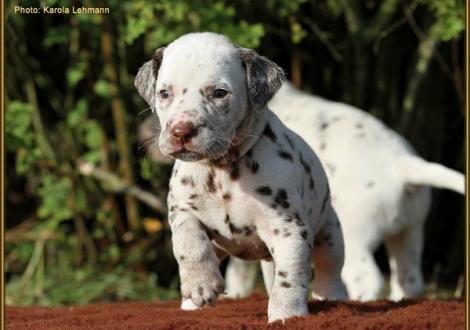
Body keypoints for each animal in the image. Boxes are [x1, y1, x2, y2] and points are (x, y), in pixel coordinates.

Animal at [134, 32, 346, 322]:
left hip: (330, 233)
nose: (181, 131)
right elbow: (189, 243)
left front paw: (287, 314)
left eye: (219, 93)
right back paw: (190, 302)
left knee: (329, 269)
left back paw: (332, 297)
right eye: (164, 93)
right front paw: (199, 285)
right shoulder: (183, 211)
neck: (220, 170)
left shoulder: (289, 228)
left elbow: (290, 275)